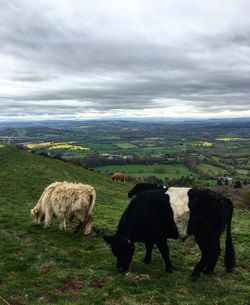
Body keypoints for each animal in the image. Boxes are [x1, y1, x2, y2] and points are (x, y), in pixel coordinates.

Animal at [102, 186, 235, 280]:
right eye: (114, 251)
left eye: (125, 250)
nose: (119, 269)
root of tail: (223, 198)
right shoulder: (150, 236)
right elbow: (149, 247)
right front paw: (147, 260)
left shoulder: (159, 236)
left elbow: (164, 251)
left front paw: (169, 268)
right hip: (214, 235)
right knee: (217, 250)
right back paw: (208, 271)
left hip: (204, 235)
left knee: (209, 253)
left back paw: (195, 274)